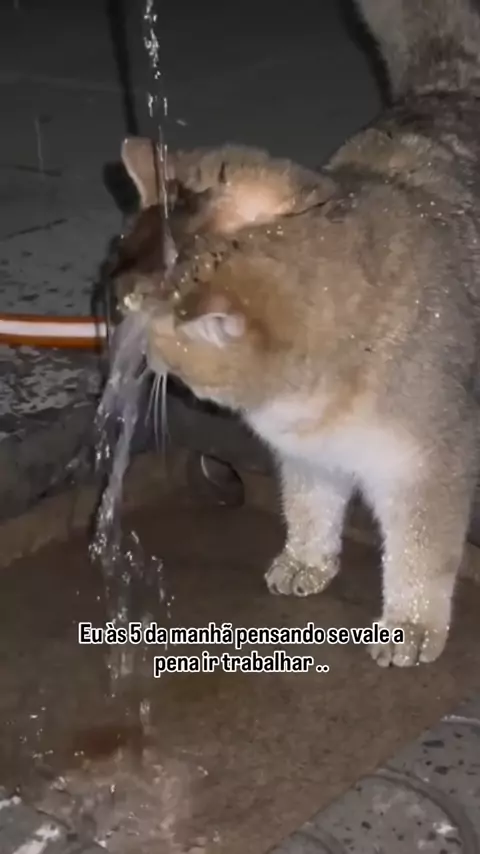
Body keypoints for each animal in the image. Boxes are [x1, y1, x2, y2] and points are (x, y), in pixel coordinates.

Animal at [109, 0, 480, 668]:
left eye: (136, 313)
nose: (121, 337)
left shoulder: (429, 464)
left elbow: (420, 552)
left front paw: (410, 623)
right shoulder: (306, 450)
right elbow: (309, 505)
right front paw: (305, 559)